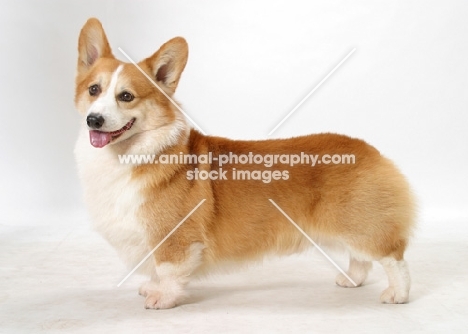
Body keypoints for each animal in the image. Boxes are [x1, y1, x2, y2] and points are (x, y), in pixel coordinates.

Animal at [74, 18, 416, 310]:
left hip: (359, 224)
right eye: (94, 90)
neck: (129, 153)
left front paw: (163, 298)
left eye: (126, 96)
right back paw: (352, 280)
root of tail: (370, 149)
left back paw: (398, 294)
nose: (94, 120)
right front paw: (152, 287)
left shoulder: (174, 237)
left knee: (392, 257)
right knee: (361, 258)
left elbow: (168, 269)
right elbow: (158, 270)